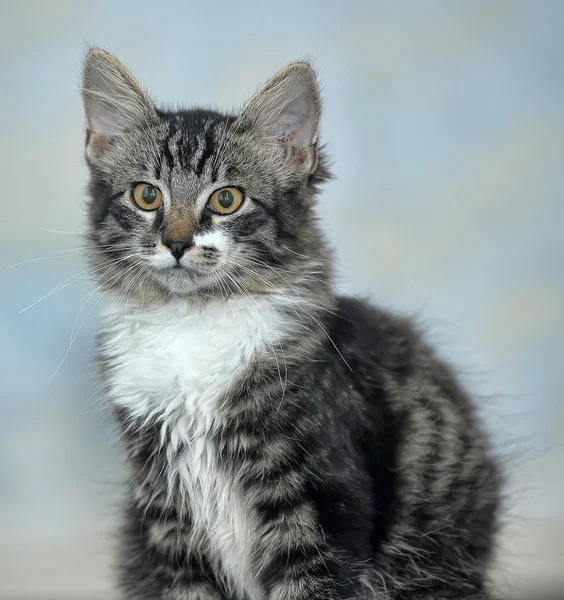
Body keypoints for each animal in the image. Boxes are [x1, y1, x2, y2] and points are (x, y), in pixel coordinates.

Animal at [80, 49, 502, 596]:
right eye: (146, 196)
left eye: (226, 200)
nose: (175, 243)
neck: (192, 320)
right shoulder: (167, 514)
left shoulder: (316, 504)